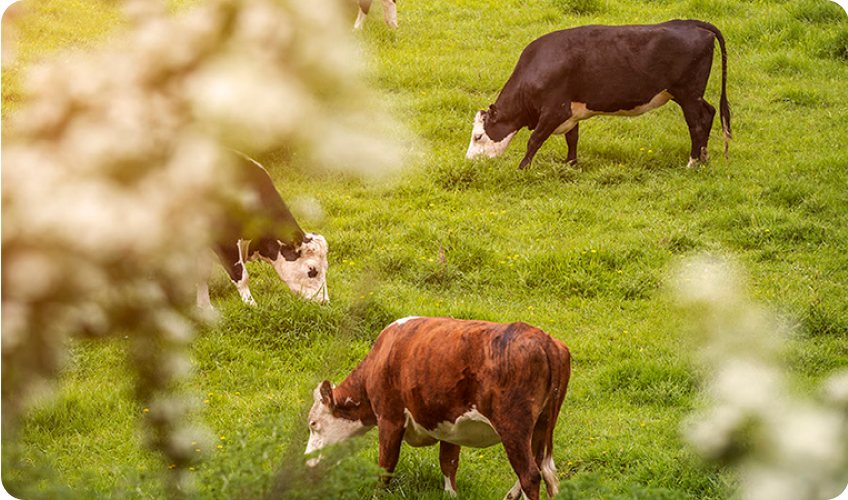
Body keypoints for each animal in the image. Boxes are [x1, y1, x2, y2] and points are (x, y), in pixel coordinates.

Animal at [196, 153, 329, 309]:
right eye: (312, 270)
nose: (324, 302)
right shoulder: (225, 240)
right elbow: (241, 275)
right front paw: (251, 306)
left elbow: (202, 273)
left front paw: (204, 307)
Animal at [305, 317, 572, 500]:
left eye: (313, 423)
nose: (308, 463)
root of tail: (546, 340)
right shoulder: (449, 425)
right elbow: (448, 463)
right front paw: (450, 494)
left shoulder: (389, 417)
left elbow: (386, 464)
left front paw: (376, 495)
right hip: (542, 425)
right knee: (542, 467)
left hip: (513, 425)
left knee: (529, 474)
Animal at [466, 20, 731, 170]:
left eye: (478, 136)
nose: (469, 162)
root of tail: (692, 24)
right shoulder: (570, 112)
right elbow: (572, 138)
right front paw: (571, 165)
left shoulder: (554, 110)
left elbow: (534, 140)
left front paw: (522, 168)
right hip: (689, 95)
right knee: (709, 113)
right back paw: (704, 157)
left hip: (688, 95)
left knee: (696, 124)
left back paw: (692, 162)